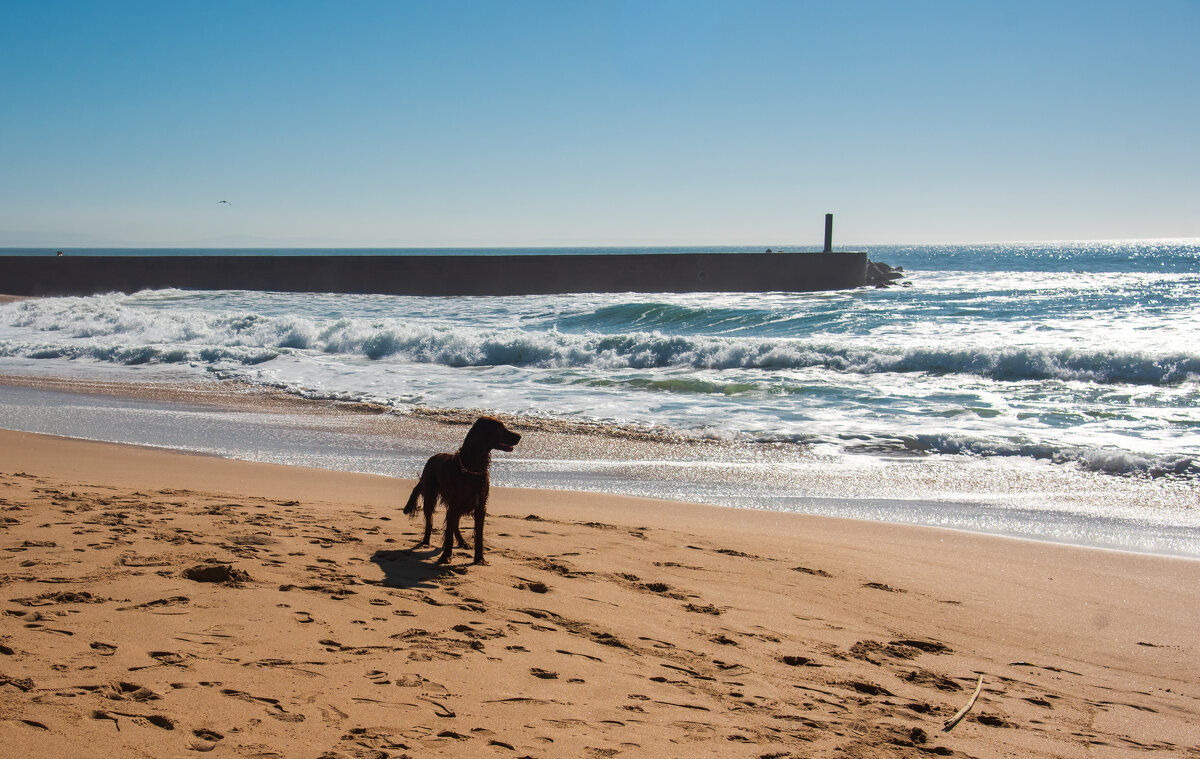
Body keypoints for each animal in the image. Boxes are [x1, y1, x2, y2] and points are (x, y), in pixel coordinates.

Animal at [403, 415, 520, 564]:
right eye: (500, 428)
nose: (519, 436)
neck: (472, 467)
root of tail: (431, 458)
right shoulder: (454, 505)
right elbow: (448, 534)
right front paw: (445, 556)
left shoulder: (480, 506)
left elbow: (478, 534)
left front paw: (479, 558)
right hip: (431, 496)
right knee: (430, 522)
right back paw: (425, 541)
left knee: (455, 525)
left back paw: (462, 542)